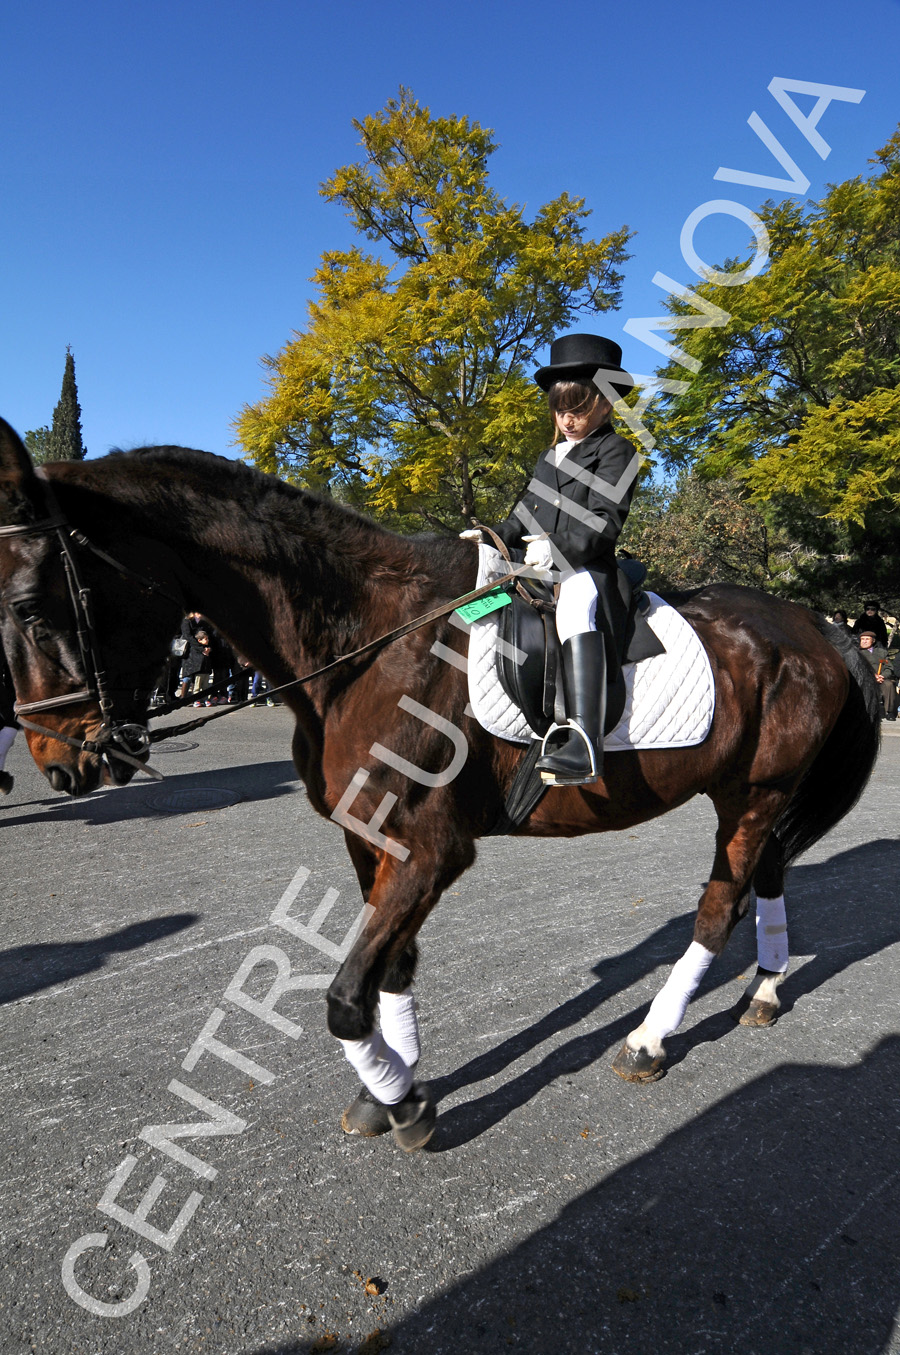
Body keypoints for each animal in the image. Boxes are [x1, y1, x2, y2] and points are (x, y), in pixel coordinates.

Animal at [0, 417, 878, 1149]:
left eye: (33, 608)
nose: (59, 763)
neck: (368, 641)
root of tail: (810, 624)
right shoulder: (370, 842)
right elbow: (389, 971)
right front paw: (388, 1090)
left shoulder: (431, 850)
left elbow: (345, 996)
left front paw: (407, 1105)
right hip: (758, 797)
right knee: (768, 877)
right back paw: (764, 990)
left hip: (753, 794)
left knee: (719, 906)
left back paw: (649, 1038)